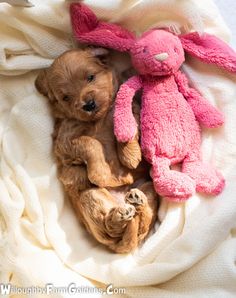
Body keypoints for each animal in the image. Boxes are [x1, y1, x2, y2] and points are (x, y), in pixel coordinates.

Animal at [36, 47, 158, 253]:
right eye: (65, 97)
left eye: (90, 77)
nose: (88, 104)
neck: (98, 119)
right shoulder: (65, 142)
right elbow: (90, 143)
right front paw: (101, 174)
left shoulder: (128, 110)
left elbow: (128, 126)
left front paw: (131, 156)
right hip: (90, 196)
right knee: (114, 227)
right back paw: (121, 214)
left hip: (149, 188)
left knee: (143, 222)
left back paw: (136, 201)